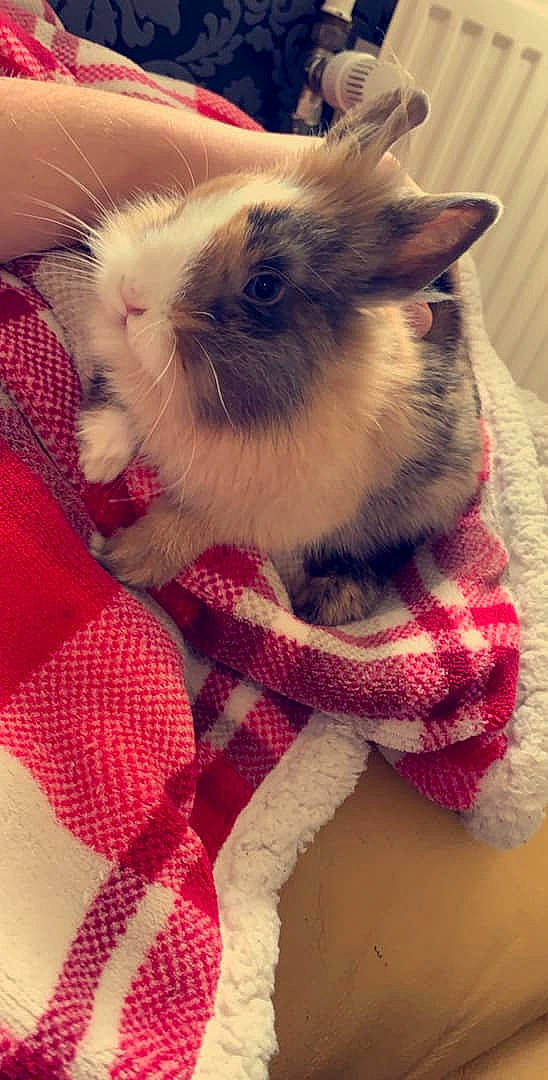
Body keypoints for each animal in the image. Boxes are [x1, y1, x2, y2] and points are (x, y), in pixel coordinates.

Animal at [77, 87, 501, 626]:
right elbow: (119, 401)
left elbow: (188, 523)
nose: (129, 295)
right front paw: (98, 457)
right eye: (194, 199)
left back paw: (328, 597)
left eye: (265, 287)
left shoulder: (260, 507)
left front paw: (123, 559)